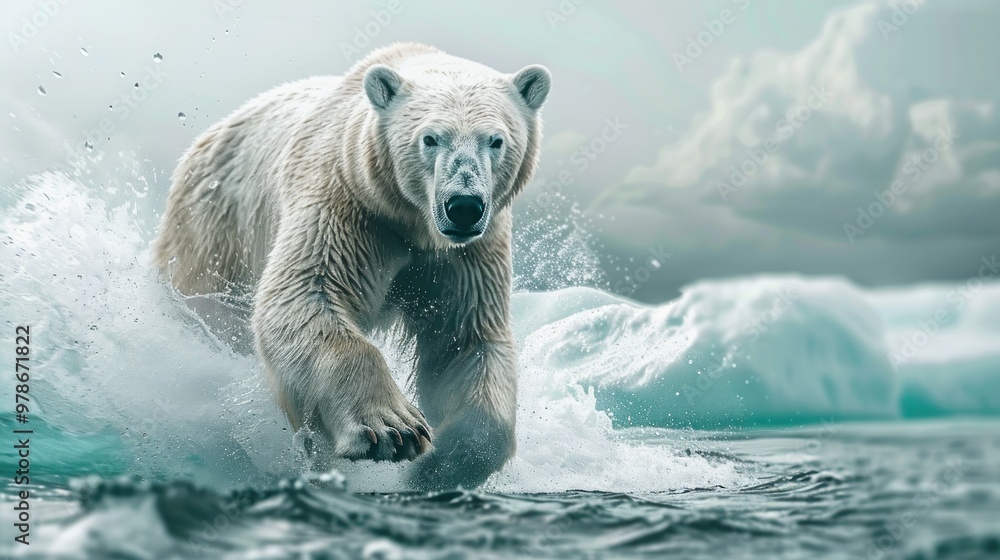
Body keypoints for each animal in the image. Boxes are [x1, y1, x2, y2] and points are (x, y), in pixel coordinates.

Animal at [153, 42, 551, 489]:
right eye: (431, 138)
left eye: (496, 140)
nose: (463, 206)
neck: (410, 222)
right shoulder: (346, 204)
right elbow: (305, 295)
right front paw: (393, 430)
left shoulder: (465, 255)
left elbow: (463, 340)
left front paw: (438, 468)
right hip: (215, 230)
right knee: (209, 305)